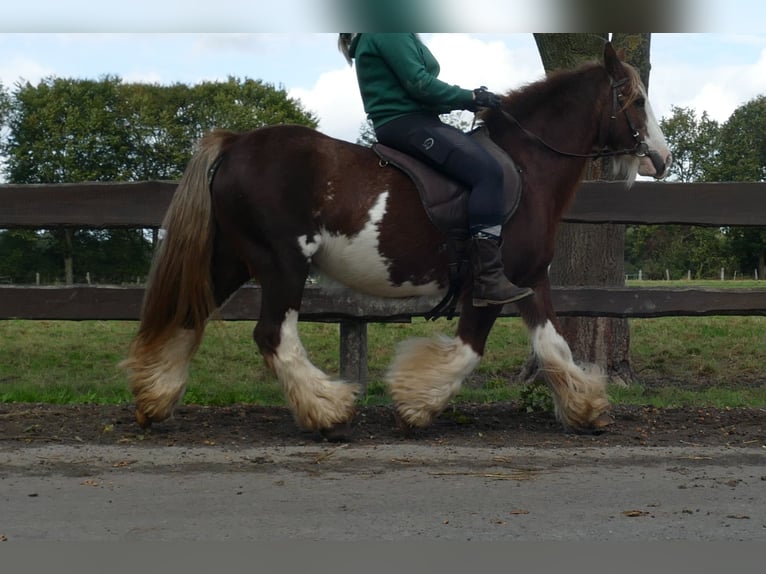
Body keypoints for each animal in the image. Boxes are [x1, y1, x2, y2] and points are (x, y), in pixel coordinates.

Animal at [121, 42, 672, 438]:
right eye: (638, 100)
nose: (662, 159)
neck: (526, 165)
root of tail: (236, 143)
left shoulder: (529, 278)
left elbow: (554, 345)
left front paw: (588, 409)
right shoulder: (490, 285)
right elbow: (469, 350)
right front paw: (414, 404)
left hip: (233, 259)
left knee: (188, 316)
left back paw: (155, 399)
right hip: (281, 264)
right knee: (273, 336)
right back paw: (328, 412)